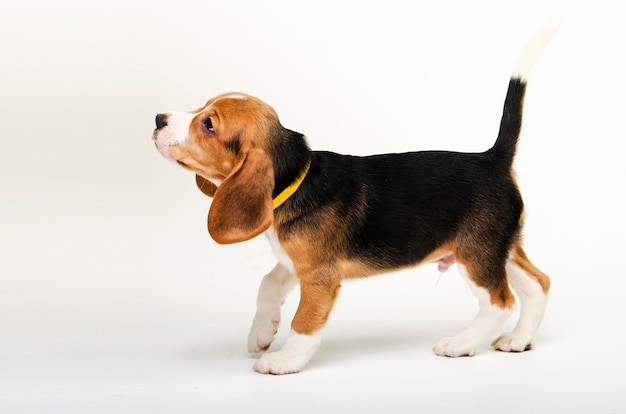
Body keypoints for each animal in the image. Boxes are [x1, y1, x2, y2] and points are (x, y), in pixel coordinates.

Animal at [150, 22, 556, 376]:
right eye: (201, 106)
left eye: (208, 125)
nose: (158, 119)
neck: (298, 178)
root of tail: (492, 158)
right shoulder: (295, 262)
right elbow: (268, 283)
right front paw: (261, 333)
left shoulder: (320, 276)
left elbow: (304, 322)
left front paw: (284, 360)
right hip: (501, 247)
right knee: (538, 283)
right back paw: (519, 339)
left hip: (476, 254)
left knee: (500, 301)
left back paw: (462, 343)